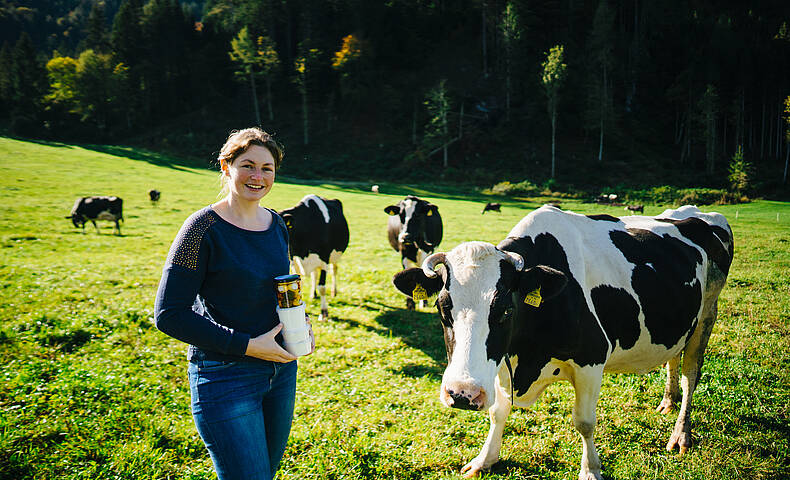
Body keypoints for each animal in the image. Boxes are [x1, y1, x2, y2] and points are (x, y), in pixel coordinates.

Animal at [396, 204, 736, 478]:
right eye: (443, 308)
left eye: (505, 310)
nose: (462, 394)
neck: (526, 357)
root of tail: (696, 213)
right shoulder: (501, 362)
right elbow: (497, 412)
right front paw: (485, 460)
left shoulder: (591, 359)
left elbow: (584, 422)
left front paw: (590, 470)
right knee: (672, 358)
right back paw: (667, 401)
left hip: (707, 313)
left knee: (691, 374)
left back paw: (681, 434)